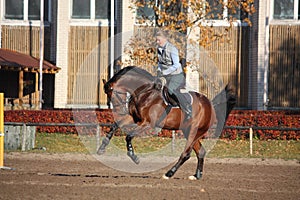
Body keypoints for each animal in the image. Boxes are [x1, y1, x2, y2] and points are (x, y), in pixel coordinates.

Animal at [97, 65, 236, 180]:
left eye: (111, 93)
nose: (118, 110)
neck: (144, 92)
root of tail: (210, 105)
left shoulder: (148, 123)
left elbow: (129, 136)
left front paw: (133, 156)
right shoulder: (134, 118)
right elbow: (115, 126)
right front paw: (102, 148)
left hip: (194, 131)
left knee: (186, 154)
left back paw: (169, 173)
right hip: (190, 132)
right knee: (200, 152)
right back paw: (196, 176)